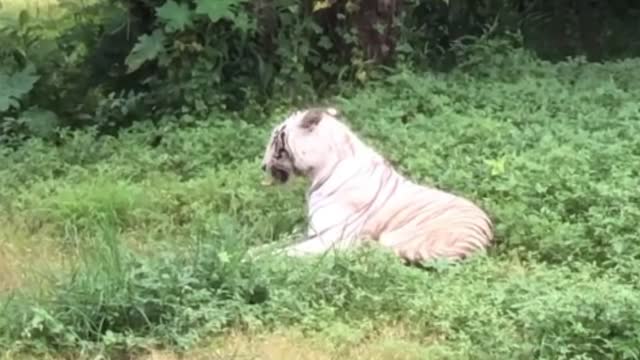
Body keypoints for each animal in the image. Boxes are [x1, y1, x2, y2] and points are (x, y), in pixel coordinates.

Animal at [260, 105, 496, 262]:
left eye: (275, 140)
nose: (262, 166)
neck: (321, 169)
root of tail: (482, 238)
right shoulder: (314, 232)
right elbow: (275, 244)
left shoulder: (331, 237)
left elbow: (285, 251)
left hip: (394, 238)